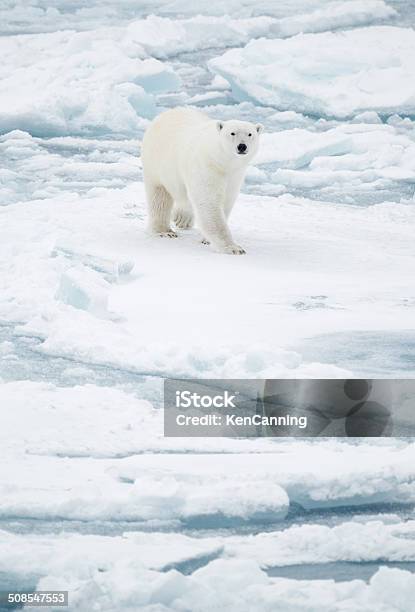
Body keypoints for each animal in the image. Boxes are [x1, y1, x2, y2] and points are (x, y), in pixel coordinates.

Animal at [140, 107, 264, 253]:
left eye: (250, 134)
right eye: (232, 133)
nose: (242, 146)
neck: (222, 161)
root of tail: (166, 113)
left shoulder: (235, 175)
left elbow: (226, 201)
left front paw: (206, 240)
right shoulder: (207, 167)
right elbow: (209, 202)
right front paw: (234, 248)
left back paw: (183, 219)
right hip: (157, 162)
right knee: (159, 197)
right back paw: (164, 231)